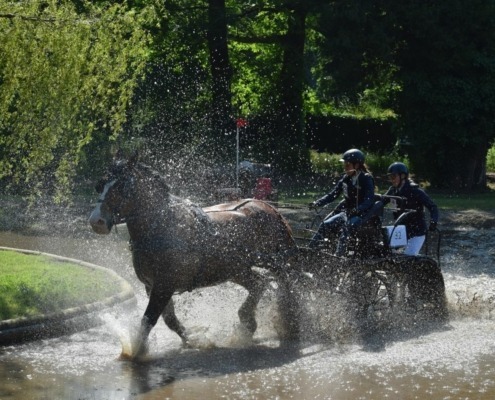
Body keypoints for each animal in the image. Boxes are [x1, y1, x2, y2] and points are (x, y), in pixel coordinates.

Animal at [88, 153, 302, 360]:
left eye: (122, 186)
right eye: (100, 185)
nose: (96, 221)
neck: (162, 226)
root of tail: (270, 208)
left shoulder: (164, 285)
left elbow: (148, 319)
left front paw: (136, 352)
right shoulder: (152, 286)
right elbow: (170, 320)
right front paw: (192, 339)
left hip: (276, 262)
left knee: (285, 286)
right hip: (236, 269)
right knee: (259, 284)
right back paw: (249, 323)